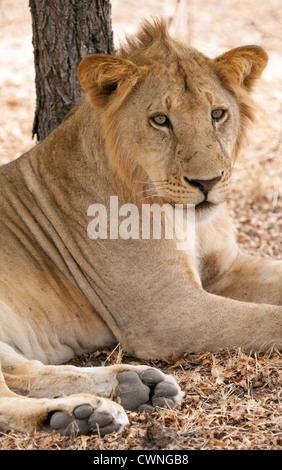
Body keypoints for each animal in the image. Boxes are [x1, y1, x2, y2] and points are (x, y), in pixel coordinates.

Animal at [0, 19, 280, 436]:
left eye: (218, 114)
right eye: (160, 120)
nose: (208, 183)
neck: (187, 223)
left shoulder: (225, 270)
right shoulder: (166, 311)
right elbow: (269, 318)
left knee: (24, 370)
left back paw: (136, 386)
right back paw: (79, 414)